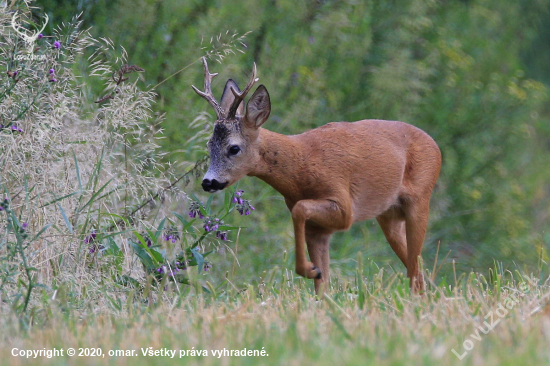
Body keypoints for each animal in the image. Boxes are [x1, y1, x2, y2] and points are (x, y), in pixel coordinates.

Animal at [192, 58, 442, 298]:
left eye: (233, 148)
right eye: (209, 145)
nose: (208, 182)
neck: (301, 165)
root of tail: (435, 145)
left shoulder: (343, 206)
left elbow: (300, 209)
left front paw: (310, 269)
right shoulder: (318, 228)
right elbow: (322, 287)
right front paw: (315, 275)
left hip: (420, 199)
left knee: (415, 268)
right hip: (388, 215)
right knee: (416, 269)